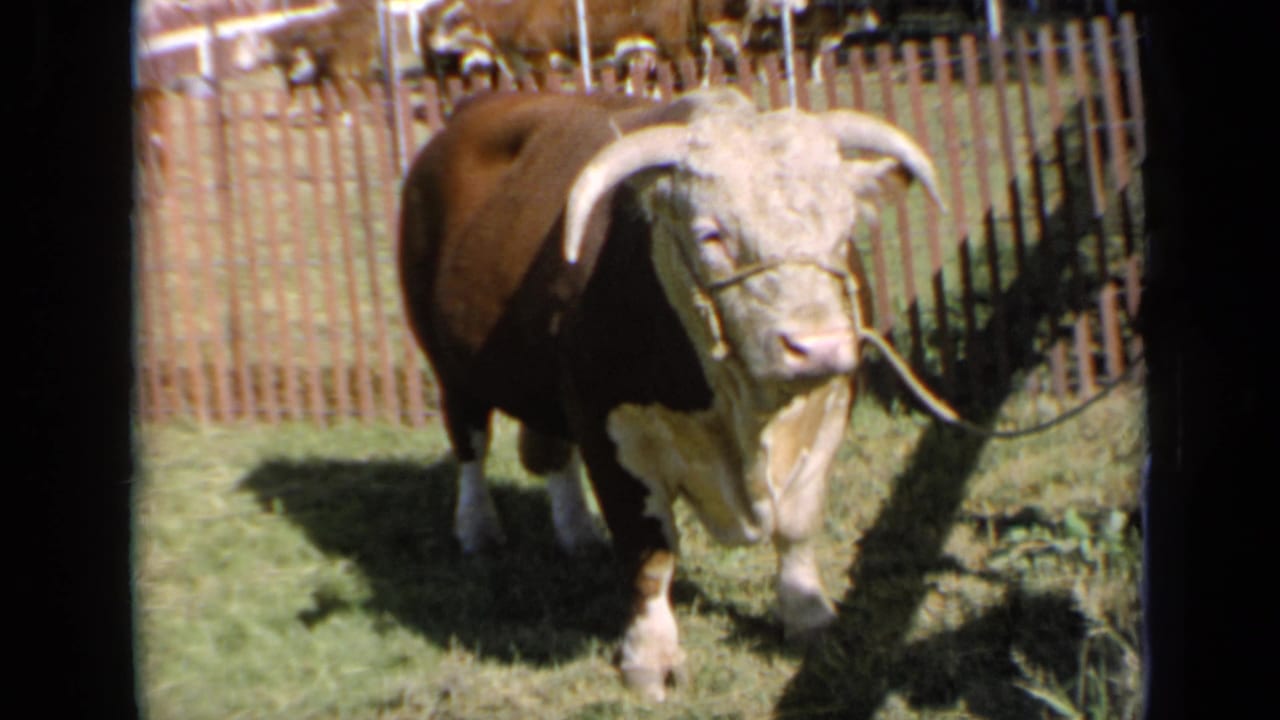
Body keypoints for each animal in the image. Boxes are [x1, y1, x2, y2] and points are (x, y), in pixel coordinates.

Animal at [397, 86, 942, 700]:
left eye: (845, 227)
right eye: (711, 235)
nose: (819, 346)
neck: (742, 413)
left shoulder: (828, 411)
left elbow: (799, 525)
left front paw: (809, 616)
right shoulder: (609, 432)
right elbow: (650, 552)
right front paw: (648, 657)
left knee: (550, 452)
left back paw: (577, 531)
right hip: (450, 367)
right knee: (471, 446)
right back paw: (478, 530)